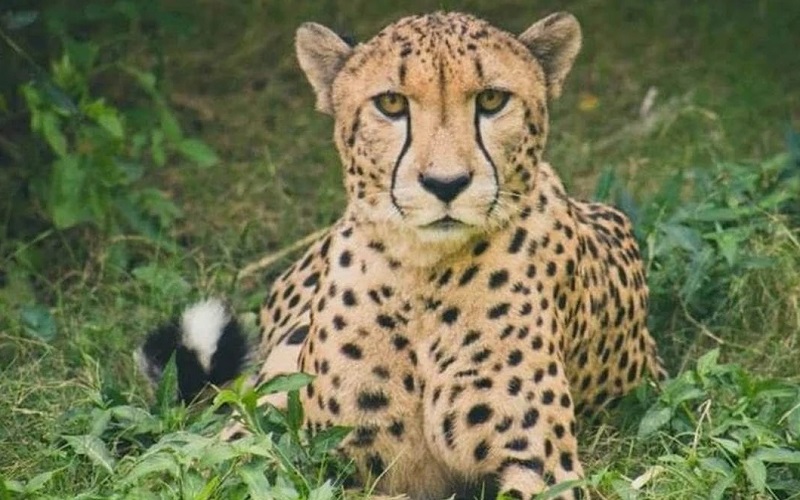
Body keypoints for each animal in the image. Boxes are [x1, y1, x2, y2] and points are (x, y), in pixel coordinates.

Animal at [141, 10, 664, 500]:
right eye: (391, 103)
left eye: (492, 100)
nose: (446, 184)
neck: (423, 275)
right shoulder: (321, 454)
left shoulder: (541, 466)